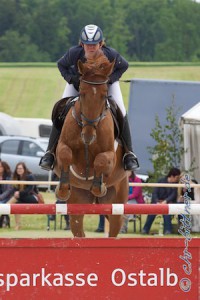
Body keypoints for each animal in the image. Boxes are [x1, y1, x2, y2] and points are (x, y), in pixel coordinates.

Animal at [54, 51, 130, 238]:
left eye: (104, 95)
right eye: (81, 93)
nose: (88, 136)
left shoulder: (110, 155)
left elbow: (101, 160)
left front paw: (98, 186)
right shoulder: (62, 147)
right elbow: (65, 154)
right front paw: (62, 189)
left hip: (117, 205)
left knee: (113, 230)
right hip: (78, 203)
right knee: (78, 230)